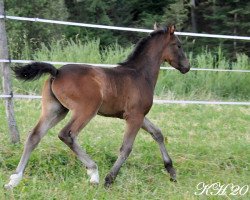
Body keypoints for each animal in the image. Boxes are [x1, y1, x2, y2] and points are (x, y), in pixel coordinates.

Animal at [4, 25, 189, 189]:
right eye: (178, 45)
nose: (187, 66)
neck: (140, 74)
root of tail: (57, 72)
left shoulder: (137, 115)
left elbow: (157, 133)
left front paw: (172, 172)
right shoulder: (134, 117)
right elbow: (126, 148)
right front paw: (109, 179)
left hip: (55, 110)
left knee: (34, 136)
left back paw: (13, 180)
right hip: (86, 110)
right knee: (67, 134)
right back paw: (93, 173)